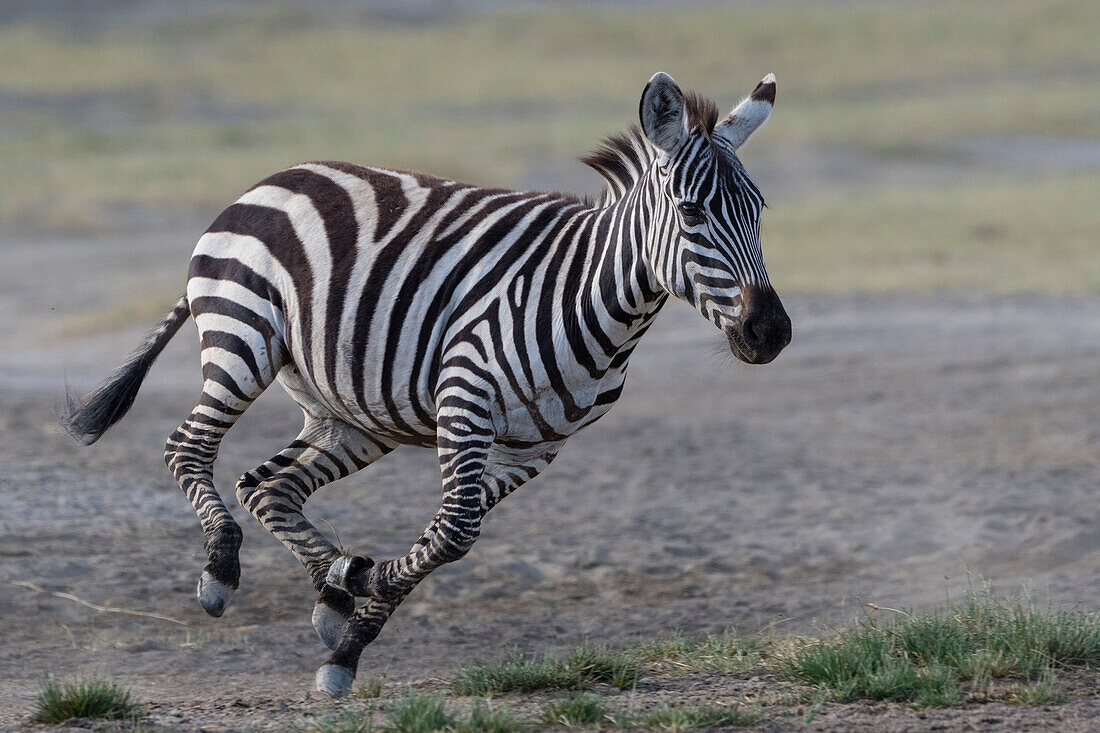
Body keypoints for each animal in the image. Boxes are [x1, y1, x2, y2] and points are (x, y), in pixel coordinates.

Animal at [62, 71, 792, 695]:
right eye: (692, 214)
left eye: (759, 211)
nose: (772, 333)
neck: (592, 302)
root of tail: (272, 180)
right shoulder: (463, 399)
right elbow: (454, 532)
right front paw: (360, 609)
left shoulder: (536, 449)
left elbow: (447, 534)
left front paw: (358, 612)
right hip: (243, 334)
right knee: (187, 447)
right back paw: (222, 572)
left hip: (352, 412)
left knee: (267, 485)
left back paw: (331, 589)